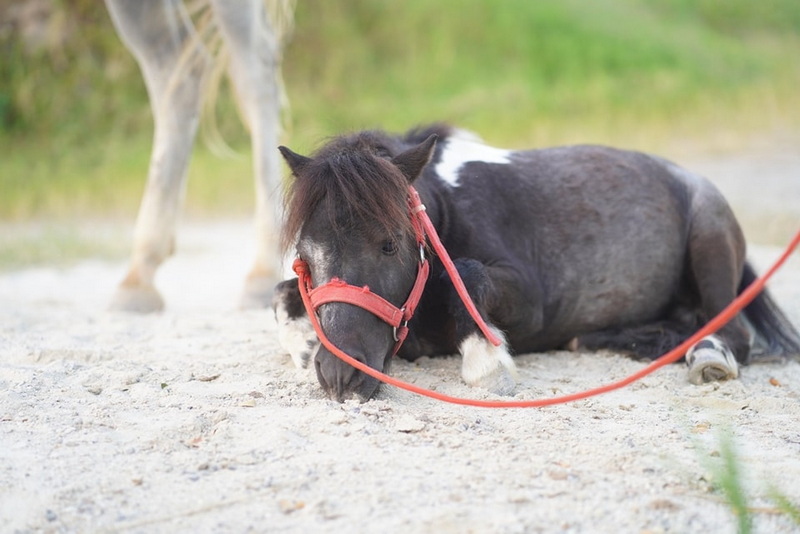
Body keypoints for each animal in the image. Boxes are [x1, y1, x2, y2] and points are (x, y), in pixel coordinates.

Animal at [272, 124, 800, 402]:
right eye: (305, 253)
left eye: (388, 245)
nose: (339, 375)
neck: (449, 209)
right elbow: (281, 297)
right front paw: (306, 345)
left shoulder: (529, 300)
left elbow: (468, 276)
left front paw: (486, 363)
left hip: (710, 233)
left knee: (731, 330)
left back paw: (706, 354)